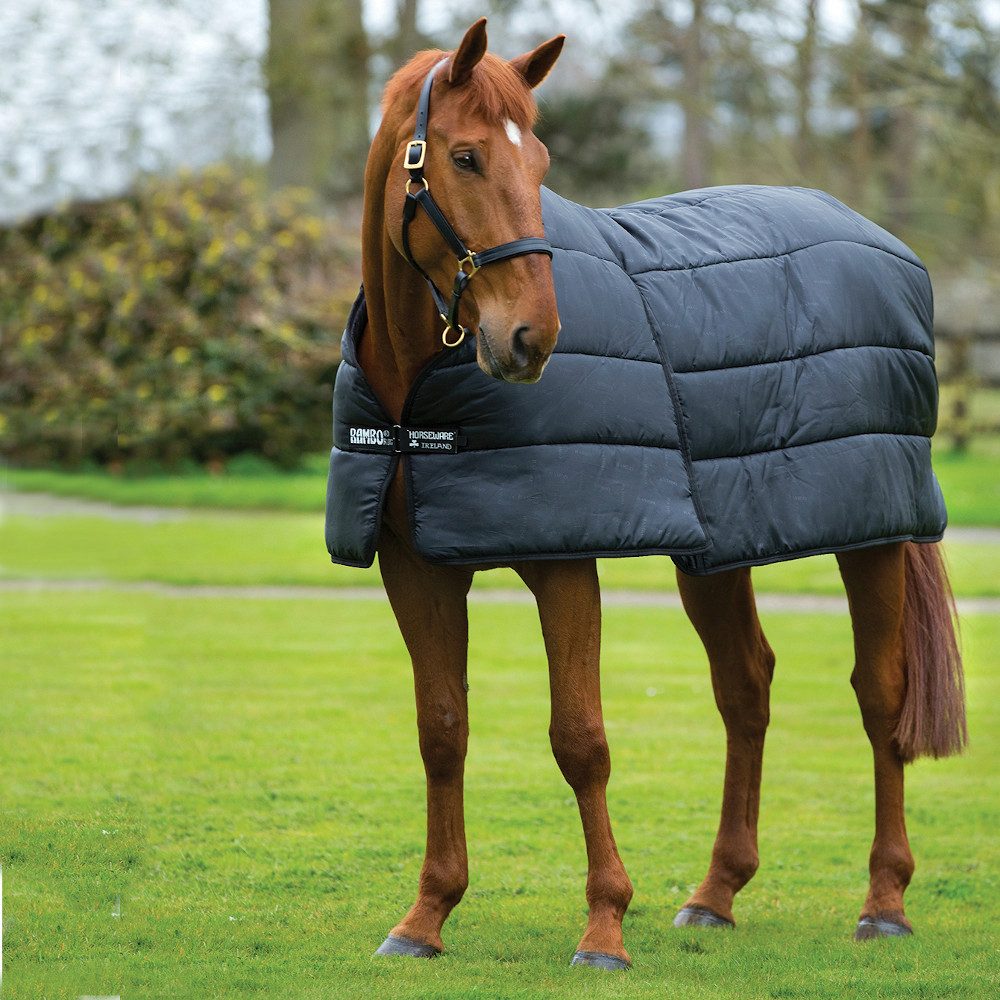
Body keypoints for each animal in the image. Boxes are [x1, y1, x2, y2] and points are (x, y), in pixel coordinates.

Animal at [337, 16, 966, 970]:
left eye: (540, 160)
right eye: (466, 157)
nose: (533, 337)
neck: (417, 395)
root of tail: (883, 243)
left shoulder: (563, 562)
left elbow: (580, 740)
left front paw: (604, 926)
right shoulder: (417, 567)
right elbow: (441, 730)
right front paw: (425, 917)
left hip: (876, 536)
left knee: (880, 695)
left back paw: (885, 899)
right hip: (720, 548)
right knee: (747, 686)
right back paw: (716, 894)